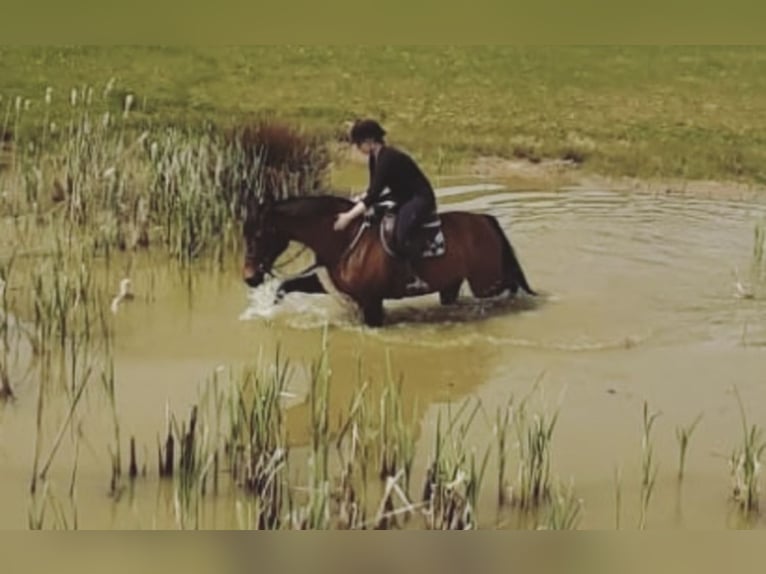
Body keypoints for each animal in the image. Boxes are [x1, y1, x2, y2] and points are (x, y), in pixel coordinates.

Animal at [243, 195, 536, 326]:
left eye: (258, 235)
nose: (249, 277)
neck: (342, 237)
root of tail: (485, 220)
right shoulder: (332, 285)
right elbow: (285, 286)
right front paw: (266, 309)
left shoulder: (372, 302)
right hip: (452, 284)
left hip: (486, 282)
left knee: (511, 285)